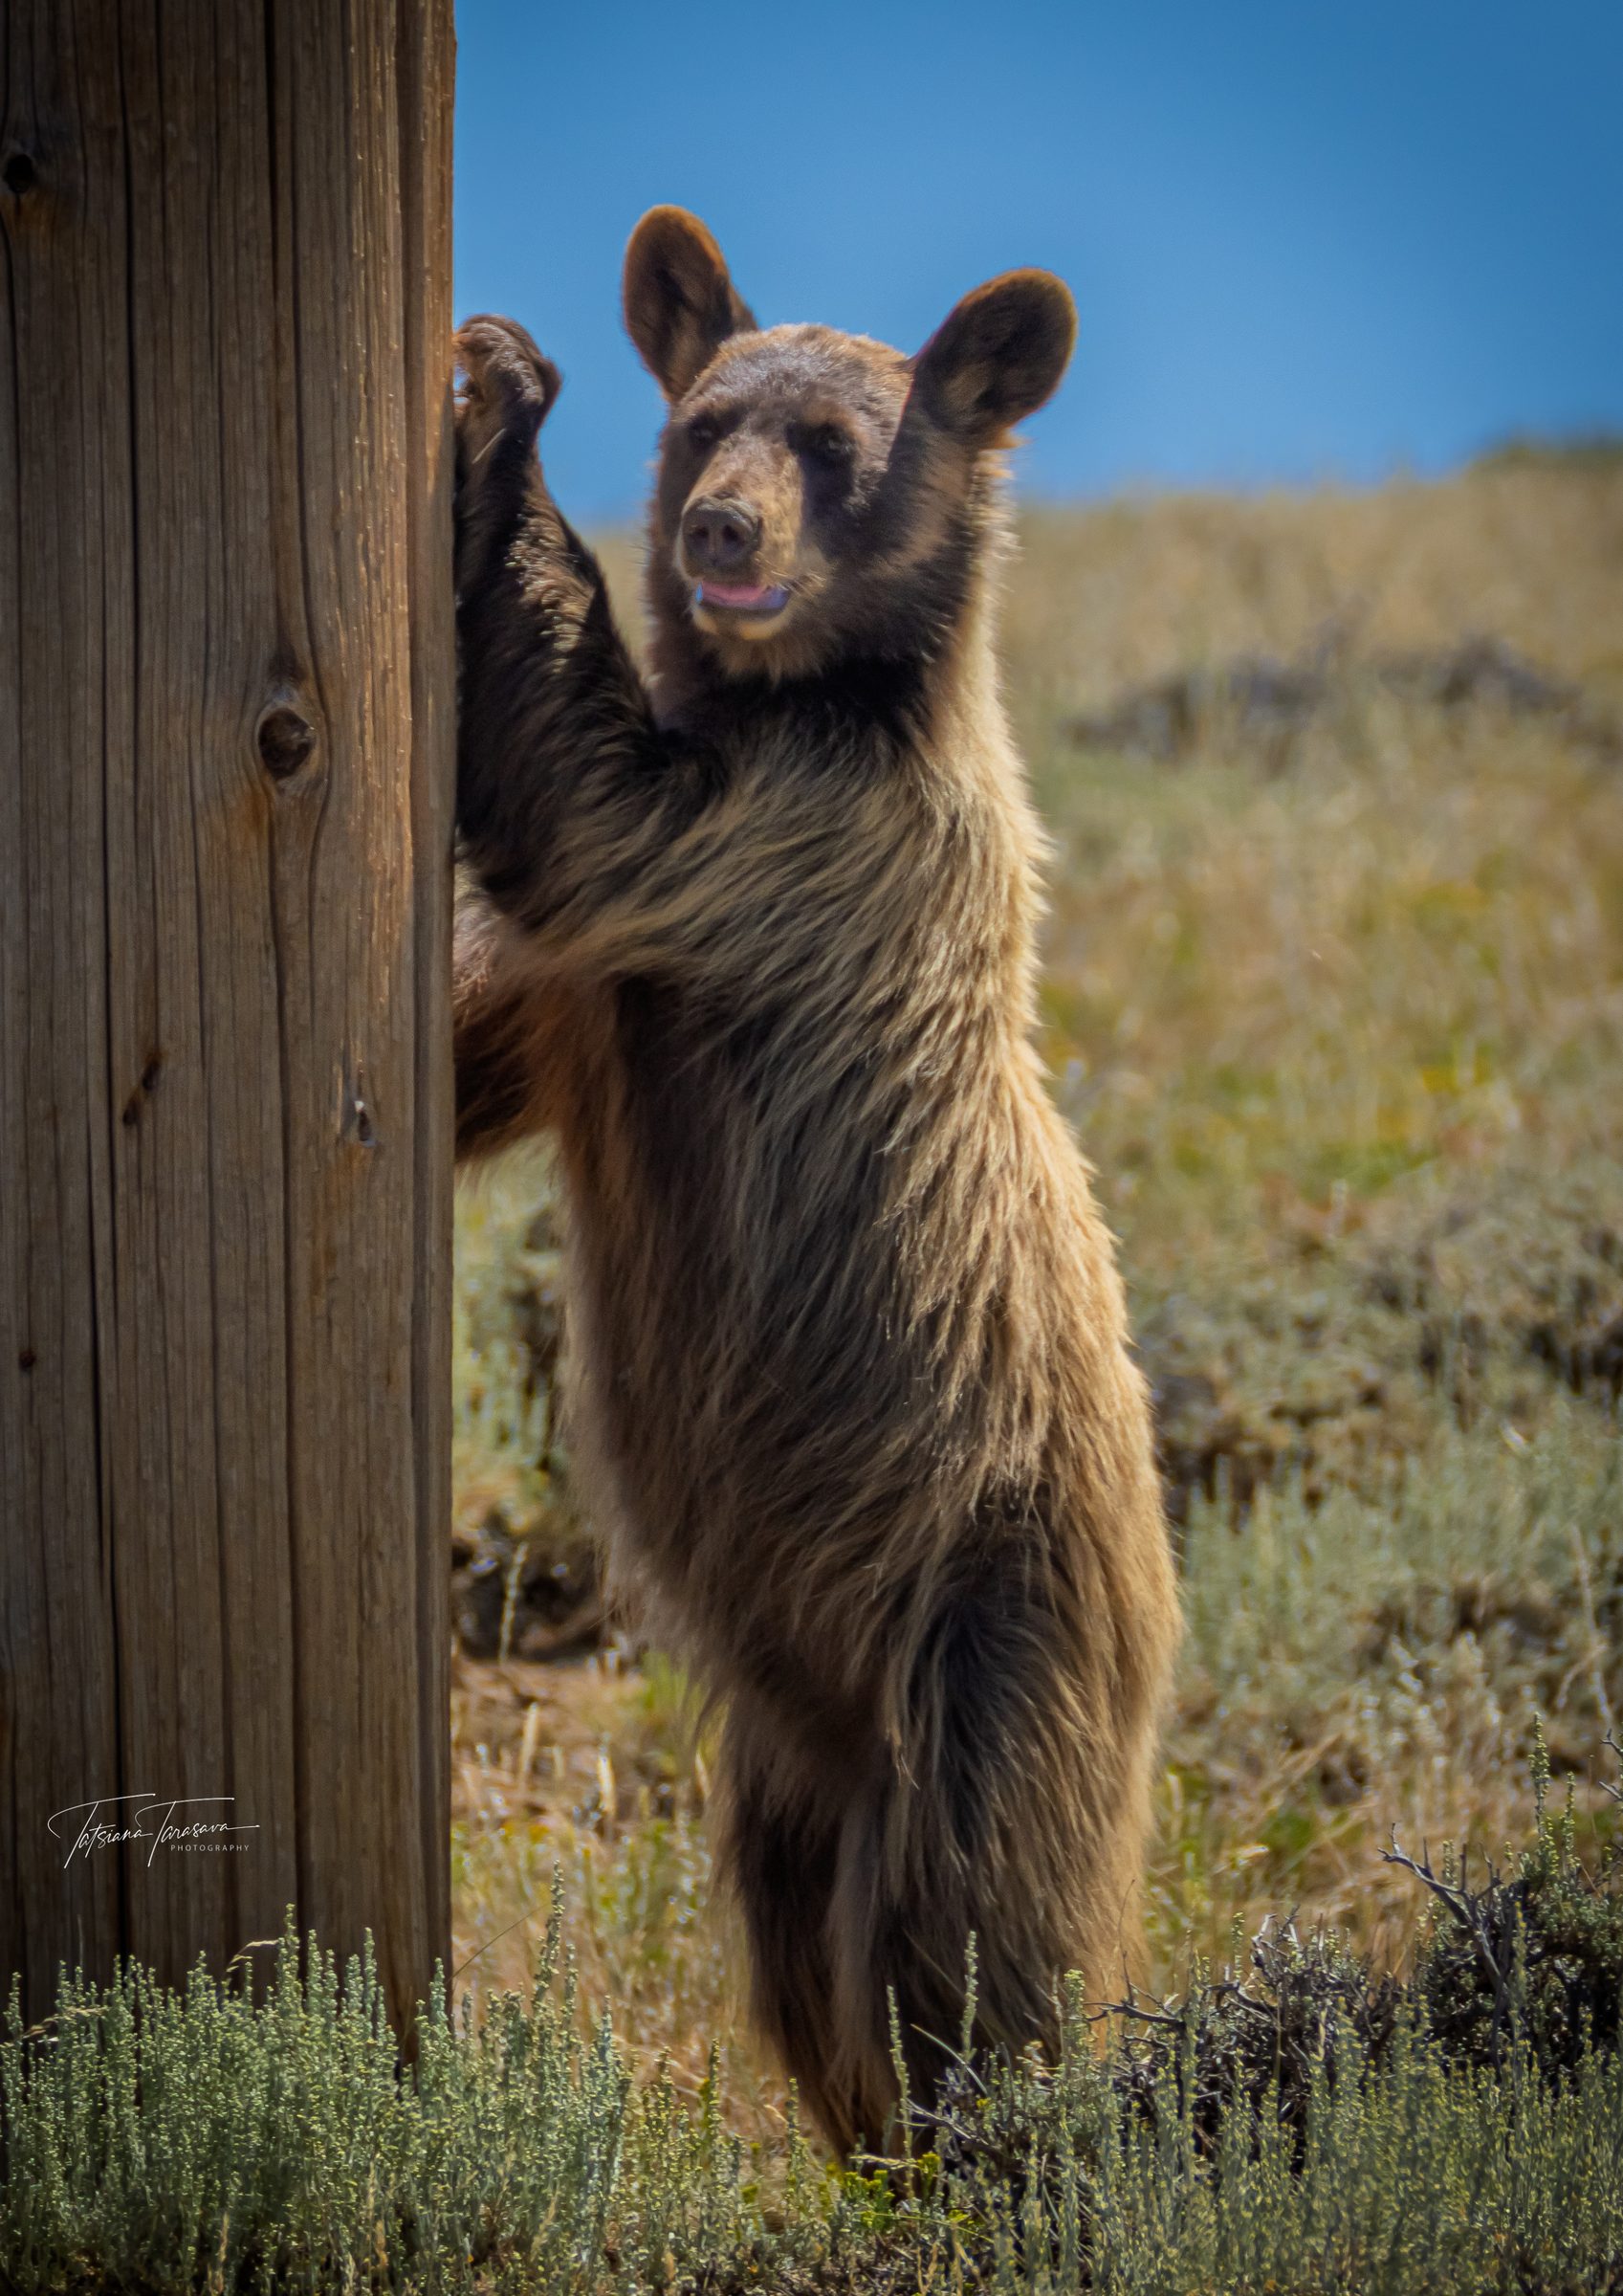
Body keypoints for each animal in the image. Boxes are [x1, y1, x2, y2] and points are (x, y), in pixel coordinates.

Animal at [450, 207, 1181, 2158]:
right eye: (710, 419)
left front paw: (497, 401)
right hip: (785, 1748)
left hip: (997, 1623)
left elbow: (583, 794)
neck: (811, 699)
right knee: (800, 1953)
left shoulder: (798, 845)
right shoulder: (588, 1010)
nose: (722, 532)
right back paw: (869, 2141)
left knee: (971, 1936)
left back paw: (1001, 2135)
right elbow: (481, 1021)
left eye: (837, 449)